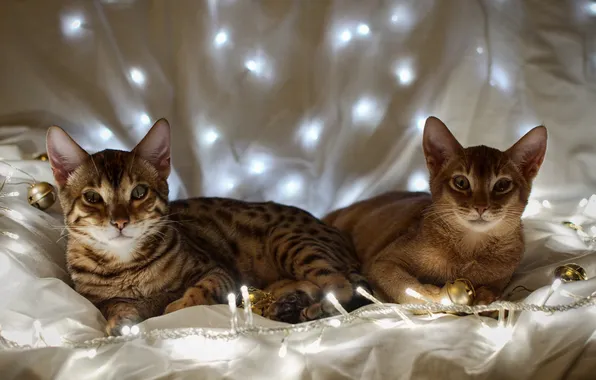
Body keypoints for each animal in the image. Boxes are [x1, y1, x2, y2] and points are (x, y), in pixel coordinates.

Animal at [46, 119, 370, 336]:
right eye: (92, 197)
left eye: (138, 192)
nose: (120, 221)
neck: (127, 265)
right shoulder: (103, 300)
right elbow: (117, 307)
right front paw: (121, 323)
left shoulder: (218, 271)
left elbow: (199, 292)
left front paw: (174, 307)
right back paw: (288, 305)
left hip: (289, 240)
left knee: (341, 288)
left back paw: (315, 308)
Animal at [324, 116, 548, 306]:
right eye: (461, 182)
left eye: (502, 185)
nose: (481, 207)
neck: (468, 251)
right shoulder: (382, 263)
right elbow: (408, 288)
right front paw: (438, 296)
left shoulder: (503, 276)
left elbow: (493, 289)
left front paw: (485, 297)